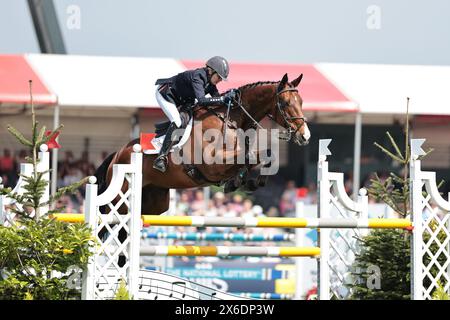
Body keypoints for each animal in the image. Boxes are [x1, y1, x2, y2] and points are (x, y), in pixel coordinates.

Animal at [95, 73, 312, 216]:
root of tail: (117, 154)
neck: (230, 119)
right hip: (121, 203)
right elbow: (251, 156)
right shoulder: (213, 165)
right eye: (285, 103)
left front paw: (243, 182)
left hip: (154, 202)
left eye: (301, 102)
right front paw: (242, 182)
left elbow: (262, 156)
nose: (305, 136)